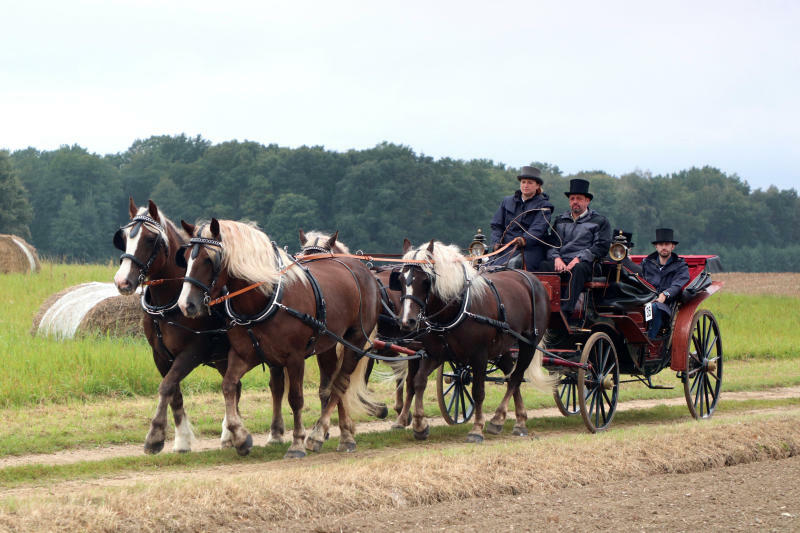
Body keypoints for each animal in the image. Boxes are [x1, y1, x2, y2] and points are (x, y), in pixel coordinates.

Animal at [114, 200, 236, 454]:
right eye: (124, 237)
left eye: (150, 239)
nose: (122, 281)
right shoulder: (160, 355)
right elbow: (174, 392)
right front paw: (181, 441)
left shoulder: (193, 351)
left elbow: (166, 386)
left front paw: (155, 436)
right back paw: (229, 434)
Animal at [179, 218, 382, 456]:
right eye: (185, 257)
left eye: (208, 260)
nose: (186, 305)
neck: (266, 298)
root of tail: (362, 269)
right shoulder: (244, 355)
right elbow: (228, 385)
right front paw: (240, 436)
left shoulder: (294, 358)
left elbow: (295, 398)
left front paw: (297, 443)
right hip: (330, 344)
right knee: (332, 383)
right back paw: (339, 435)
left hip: (354, 340)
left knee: (341, 383)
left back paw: (323, 434)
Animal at [396, 239, 556, 442]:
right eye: (400, 279)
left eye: (425, 280)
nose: (406, 321)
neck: (457, 307)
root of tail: (532, 279)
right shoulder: (435, 354)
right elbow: (418, 382)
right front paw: (419, 425)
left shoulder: (479, 355)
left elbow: (478, 392)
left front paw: (477, 429)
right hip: (502, 347)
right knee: (510, 373)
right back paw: (517, 419)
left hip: (529, 344)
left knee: (515, 377)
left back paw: (499, 419)